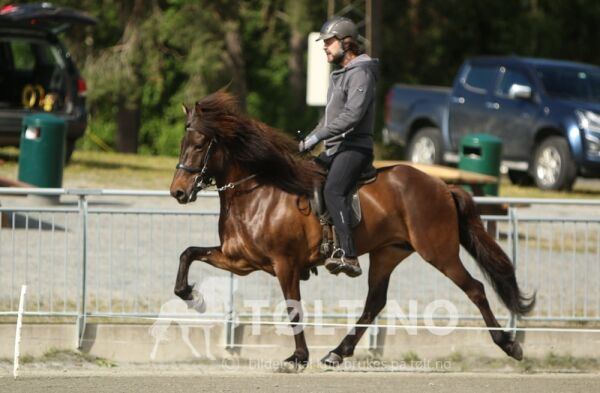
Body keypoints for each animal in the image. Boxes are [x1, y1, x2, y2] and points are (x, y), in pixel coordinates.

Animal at [169, 90, 536, 366]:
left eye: (200, 144)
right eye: (182, 143)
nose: (178, 192)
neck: (257, 190)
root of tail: (442, 186)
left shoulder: (284, 265)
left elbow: (293, 308)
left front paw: (298, 357)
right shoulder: (239, 260)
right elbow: (188, 253)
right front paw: (191, 296)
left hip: (439, 252)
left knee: (475, 288)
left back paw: (509, 344)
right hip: (388, 254)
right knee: (374, 303)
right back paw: (337, 352)